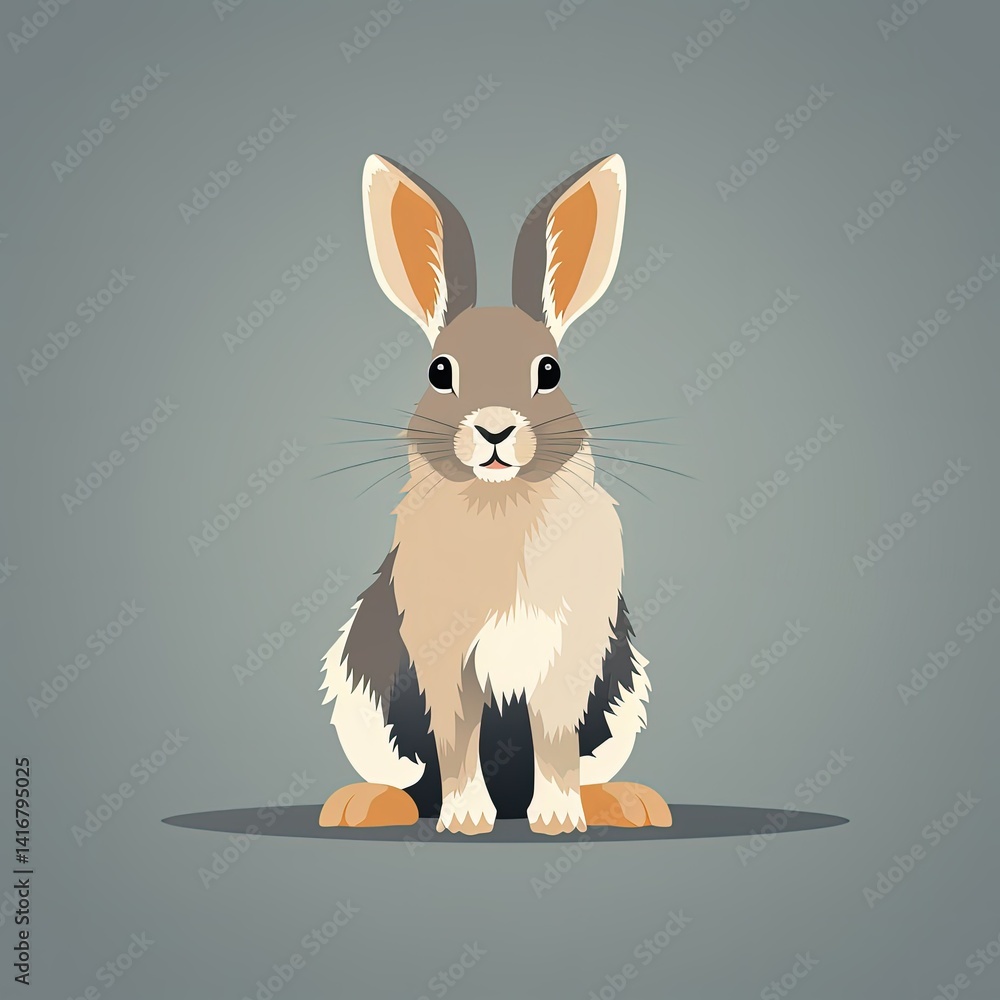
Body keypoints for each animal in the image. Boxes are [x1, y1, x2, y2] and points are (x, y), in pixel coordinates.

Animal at [318, 152, 671, 835]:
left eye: (549, 371)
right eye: (440, 372)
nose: (495, 429)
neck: (499, 506)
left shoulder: (569, 658)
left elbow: (555, 741)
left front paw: (557, 820)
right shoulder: (443, 656)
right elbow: (457, 738)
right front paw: (465, 821)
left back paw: (630, 803)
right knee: (411, 783)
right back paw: (359, 806)